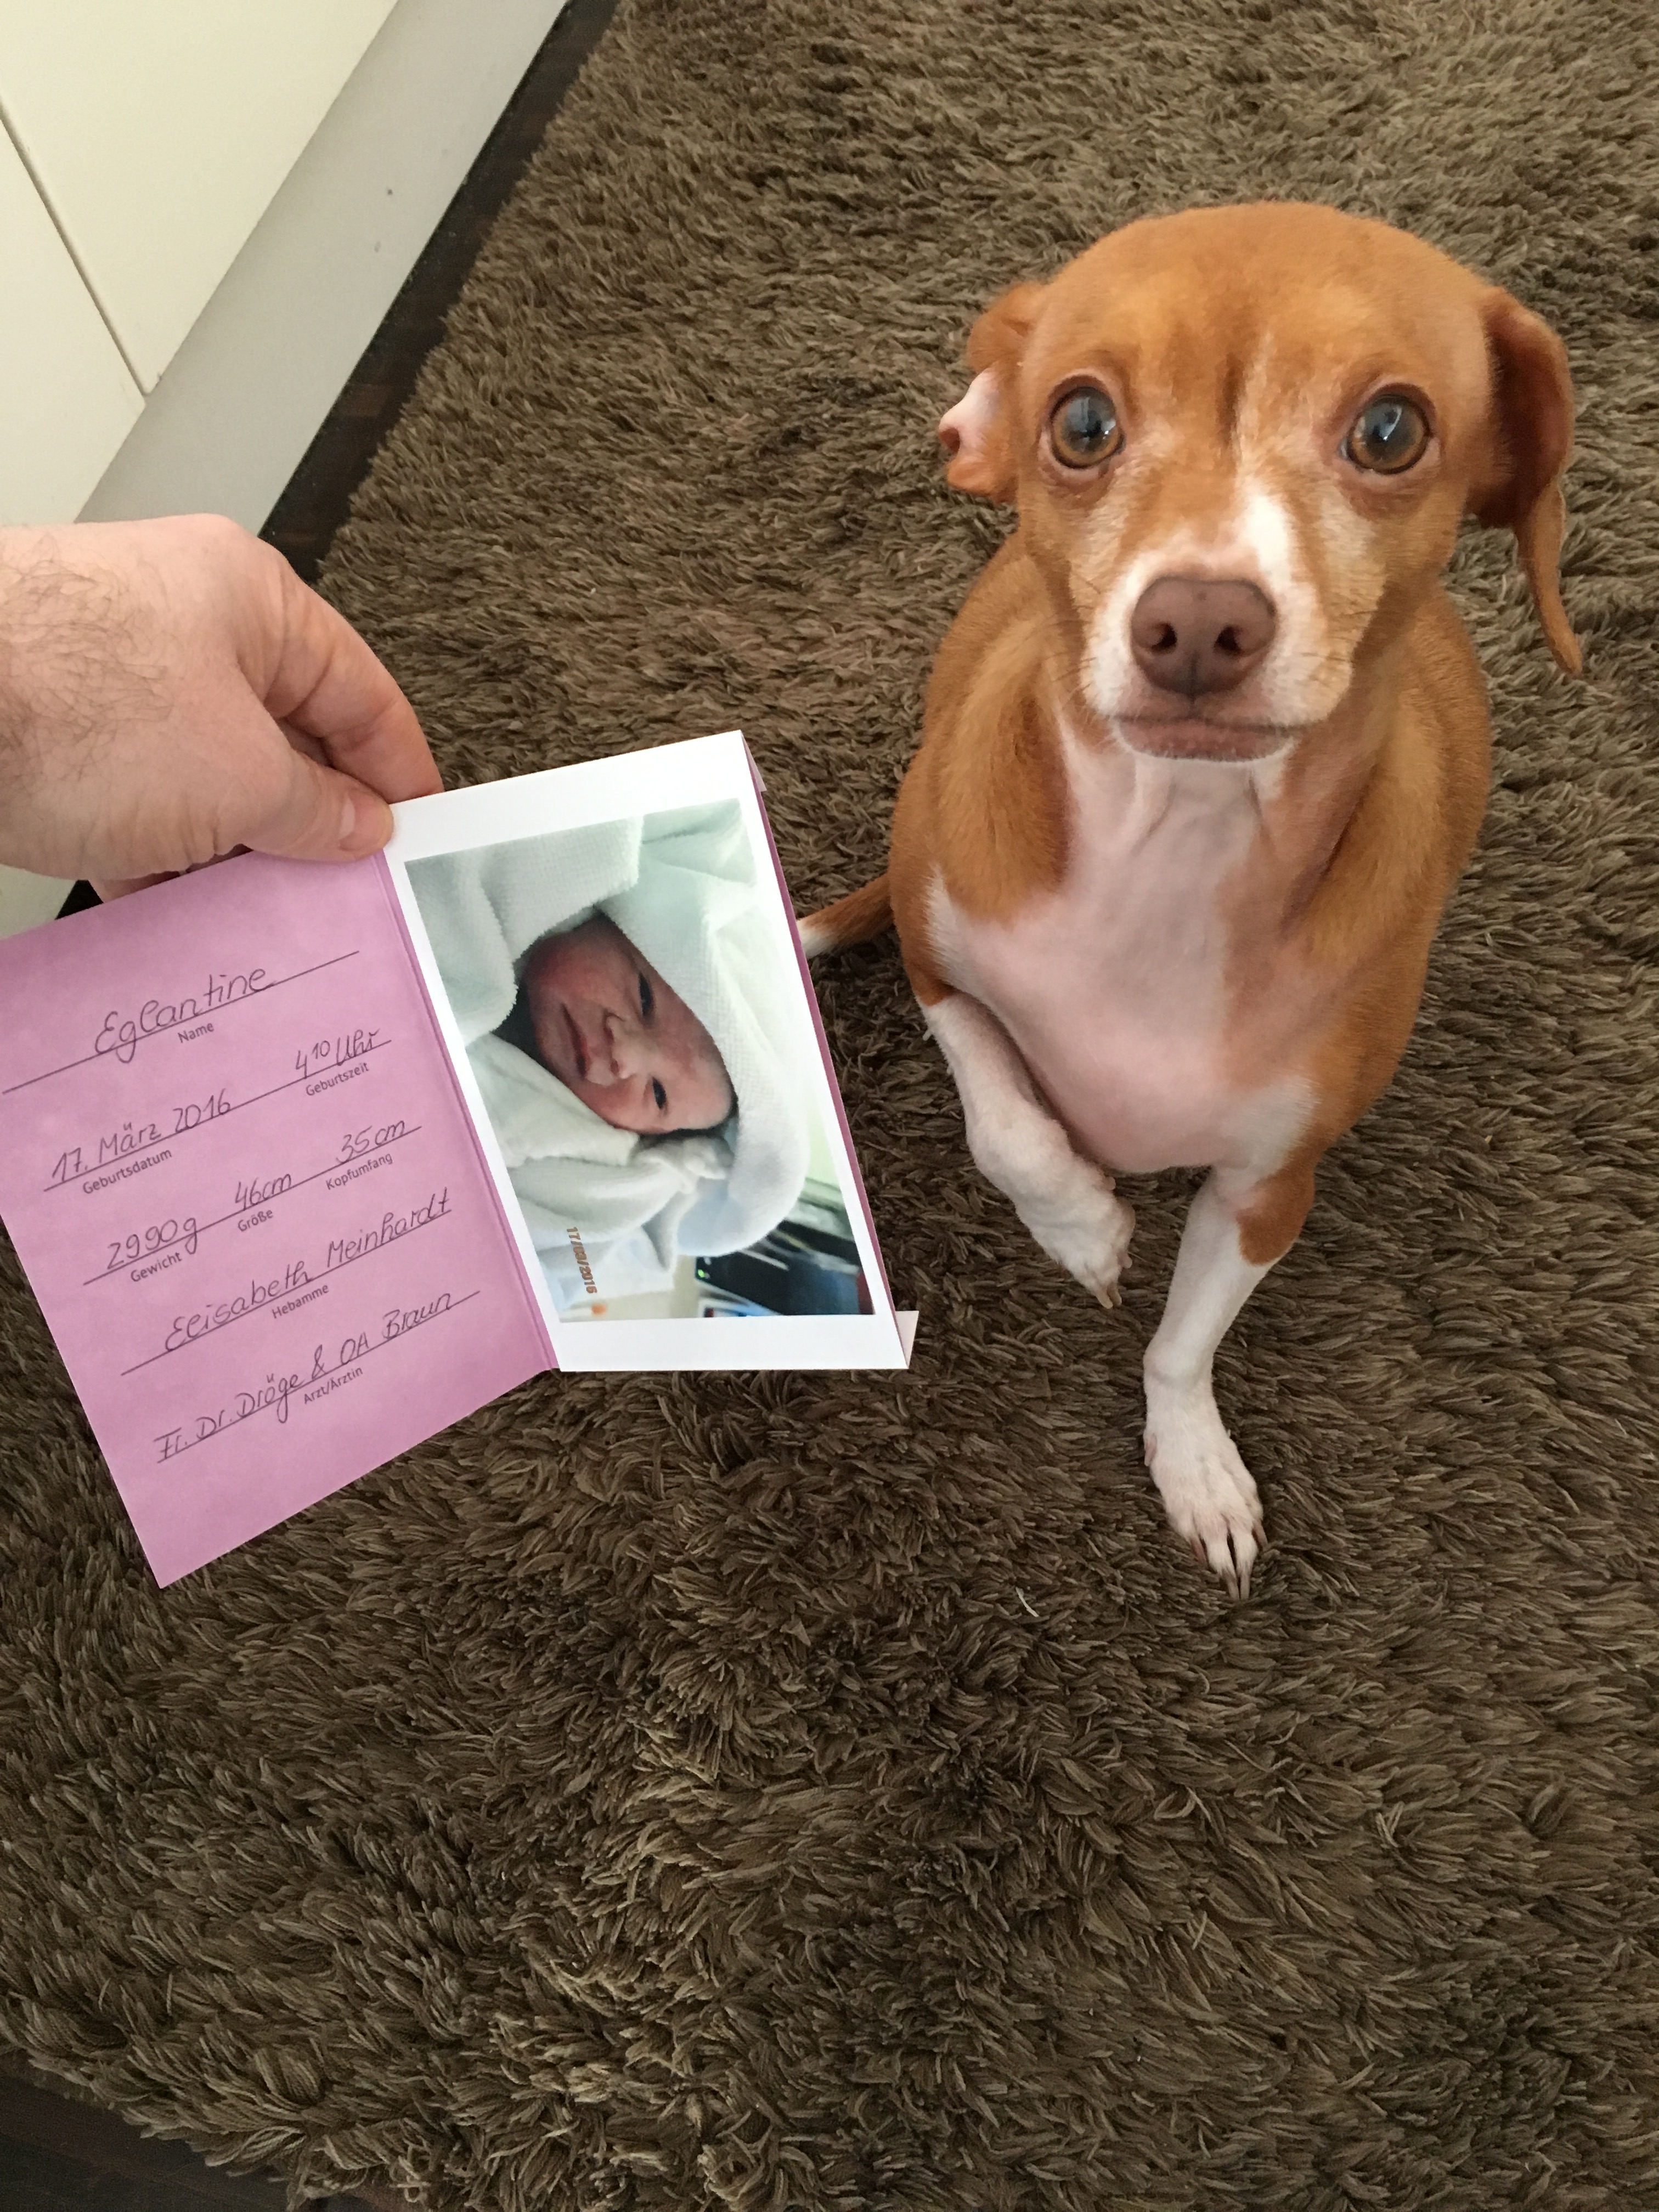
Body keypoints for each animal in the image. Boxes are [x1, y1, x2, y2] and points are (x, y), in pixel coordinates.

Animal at [802, 202, 1578, 1596]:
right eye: (1082, 422)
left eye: (1391, 431)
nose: (1202, 621)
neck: (1176, 848)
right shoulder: (944, 966)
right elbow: (1004, 1124)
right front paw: (1081, 1231)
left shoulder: (1270, 1188)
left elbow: (1182, 1342)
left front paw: (1194, 1463)